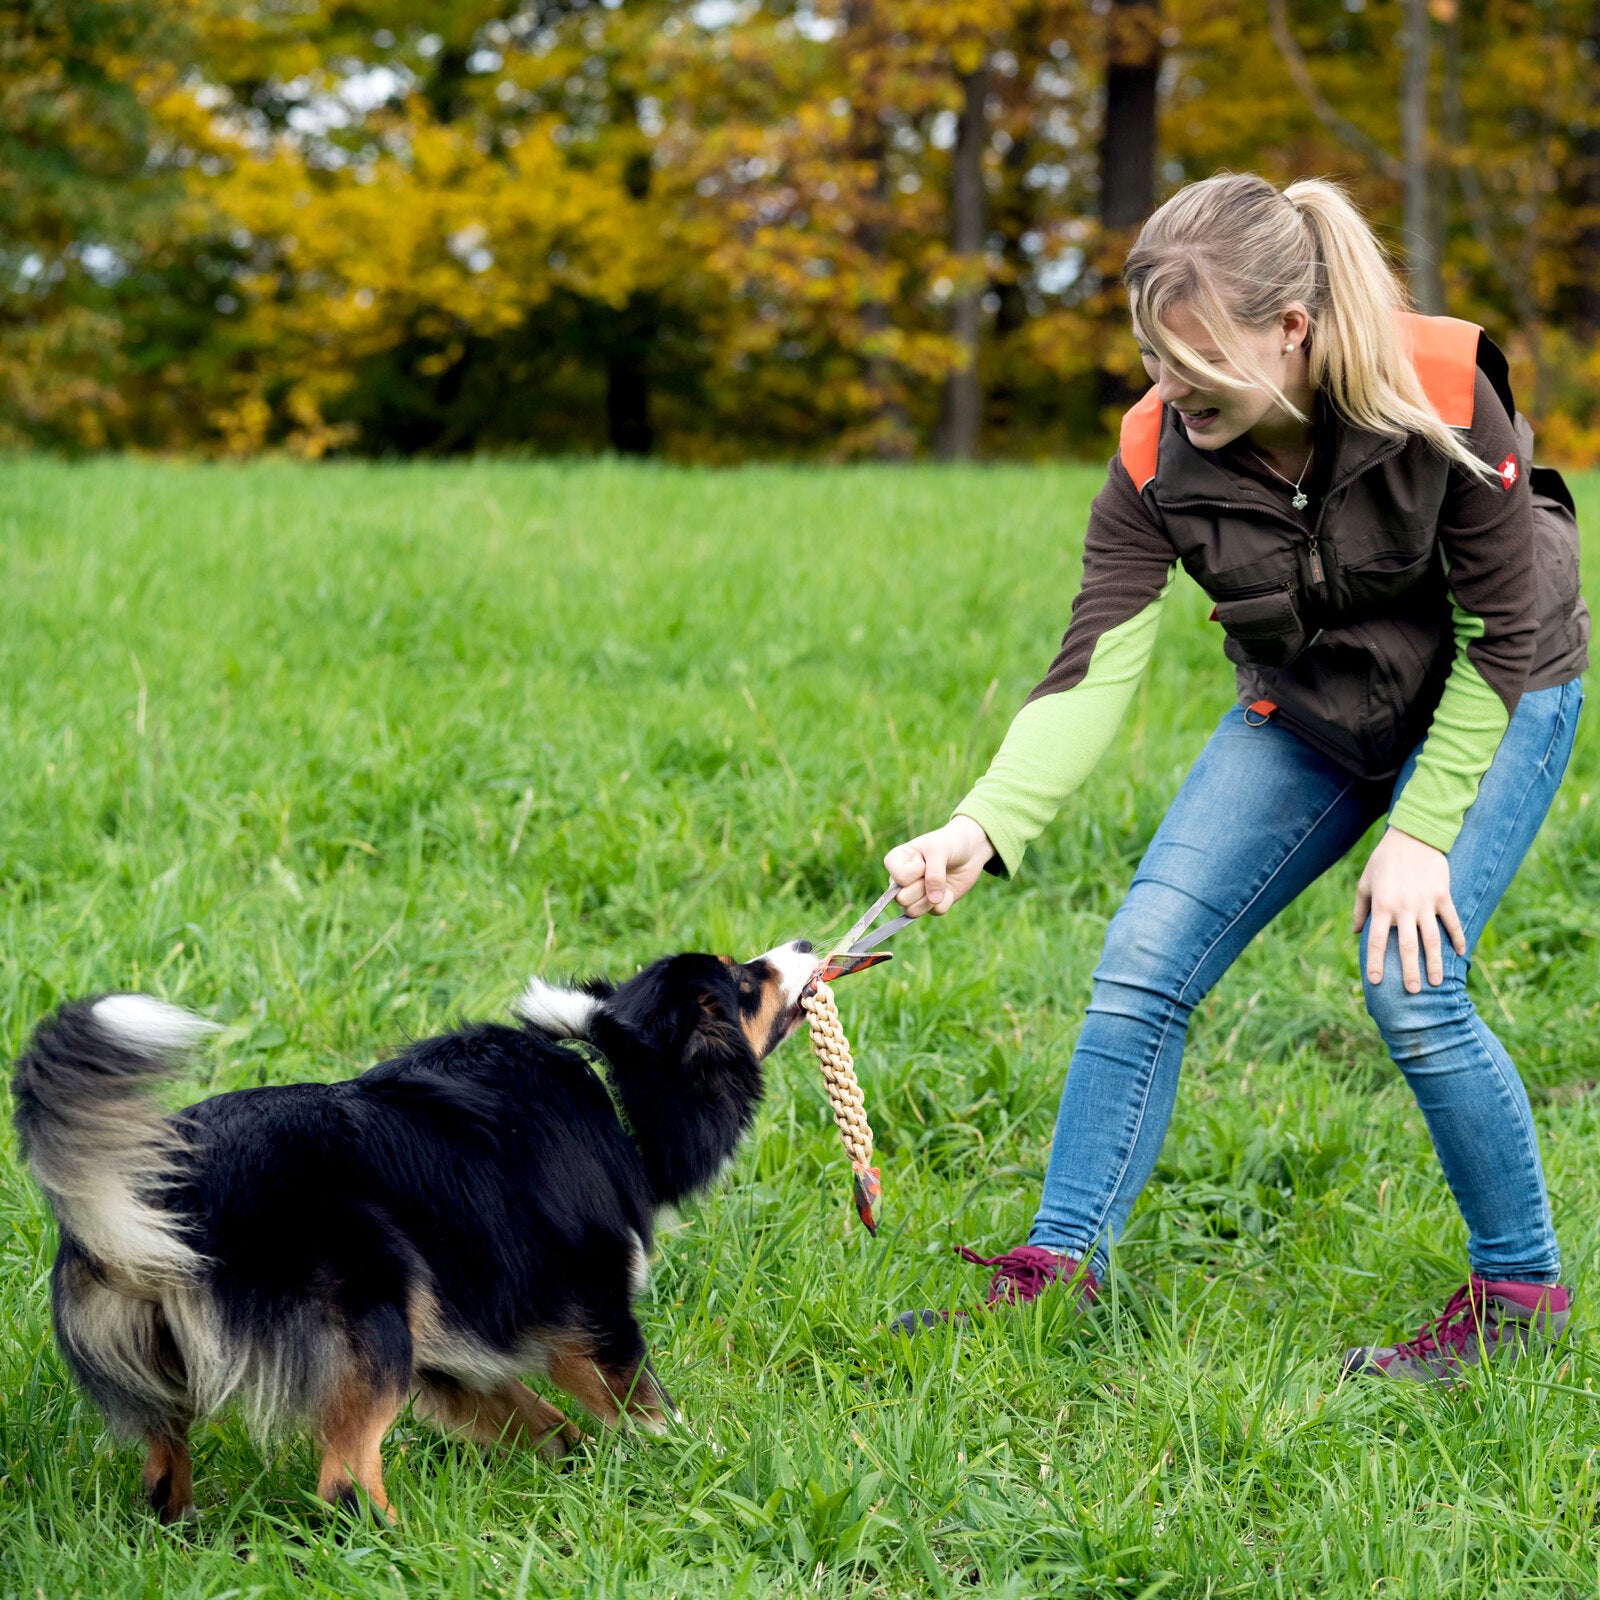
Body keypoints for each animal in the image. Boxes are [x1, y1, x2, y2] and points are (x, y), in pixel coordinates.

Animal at [18, 940, 825, 1516]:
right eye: (746, 980)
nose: (810, 942)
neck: (616, 1064)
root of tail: (167, 1186)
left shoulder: (458, 1332)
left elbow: (528, 1414)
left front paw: (570, 1463)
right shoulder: (591, 1308)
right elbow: (642, 1401)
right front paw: (699, 1456)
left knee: (162, 1468)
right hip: (370, 1322)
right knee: (343, 1482)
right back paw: (395, 1545)